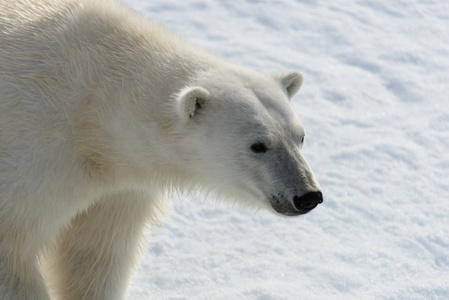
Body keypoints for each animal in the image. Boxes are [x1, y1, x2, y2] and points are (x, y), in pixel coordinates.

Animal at [0, 0, 322, 298]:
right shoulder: (33, 156)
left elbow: (95, 256)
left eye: (300, 137)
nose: (307, 195)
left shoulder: (119, 188)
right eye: (258, 145)